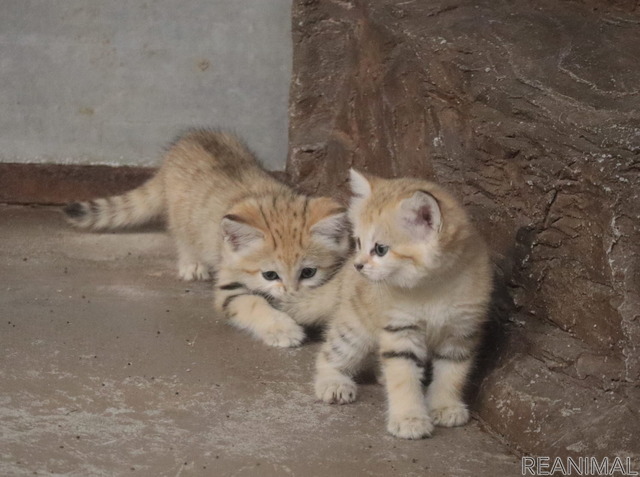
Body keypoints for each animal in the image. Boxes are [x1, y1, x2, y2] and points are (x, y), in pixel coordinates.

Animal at [63, 130, 350, 346]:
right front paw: (283, 329)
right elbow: (254, 303)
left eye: (308, 272)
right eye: (270, 275)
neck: (272, 199)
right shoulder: (230, 285)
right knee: (182, 238)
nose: (291, 293)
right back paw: (192, 264)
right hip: (180, 218)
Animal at [314, 170, 490, 438]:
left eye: (380, 249)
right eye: (358, 242)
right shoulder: (400, 329)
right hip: (353, 328)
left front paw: (445, 406)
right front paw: (410, 419)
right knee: (328, 355)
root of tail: (344, 273)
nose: (359, 265)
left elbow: (451, 374)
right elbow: (403, 377)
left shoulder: (461, 332)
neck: (433, 287)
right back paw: (332, 382)